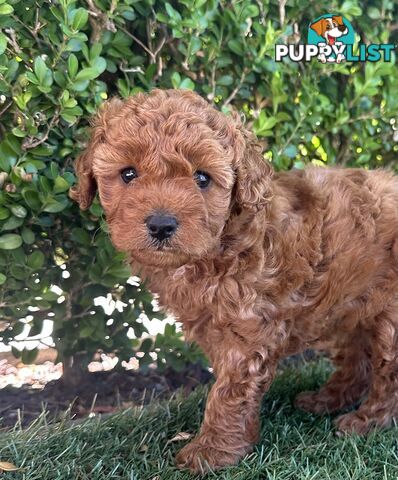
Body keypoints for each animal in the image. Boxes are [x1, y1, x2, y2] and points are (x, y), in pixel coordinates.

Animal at [70, 89, 398, 472]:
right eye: (128, 174)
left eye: (202, 178)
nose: (162, 225)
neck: (221, 244)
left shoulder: (248, 331)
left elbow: (228, 392)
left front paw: (211, 451)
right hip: (347, 304)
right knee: (356, 357)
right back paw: (326, 399)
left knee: (388, 374)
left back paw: (366, 421)